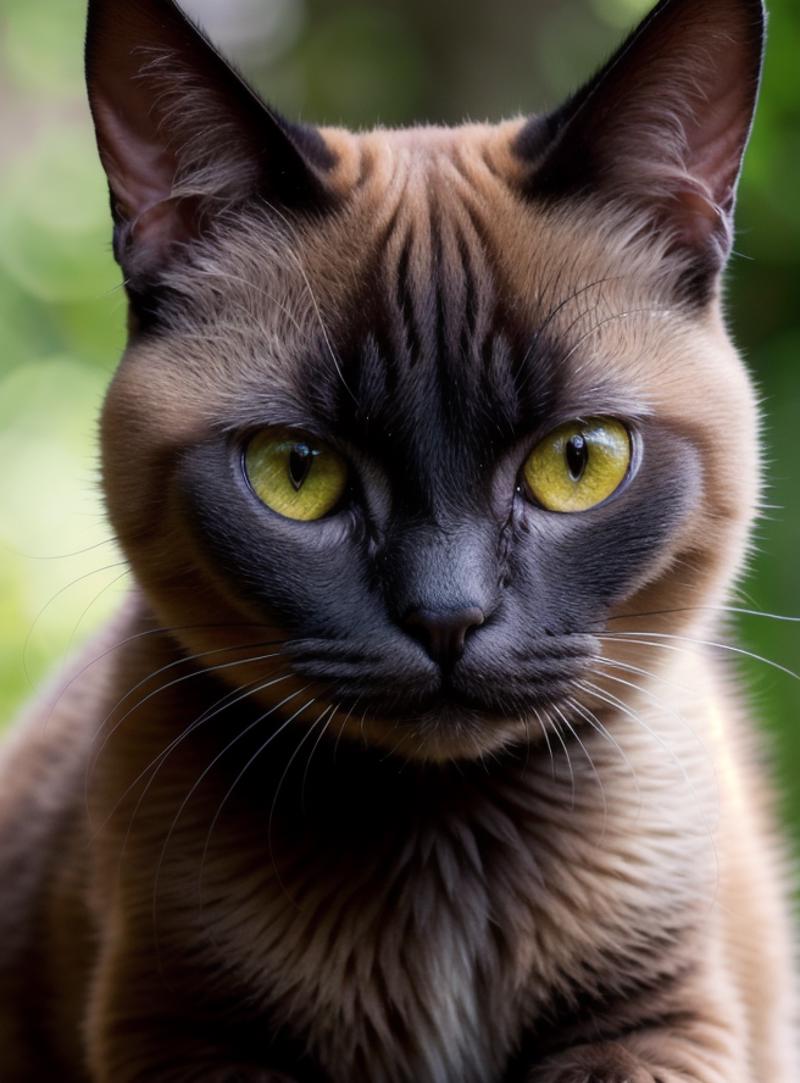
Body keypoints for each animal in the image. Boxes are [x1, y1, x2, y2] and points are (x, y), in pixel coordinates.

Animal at [0, 0, 796, 1078]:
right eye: (297, 472)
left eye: (577, 462)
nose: (446, 618)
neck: (442, 849)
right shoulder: (182, 1028)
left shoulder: (659, 1019)